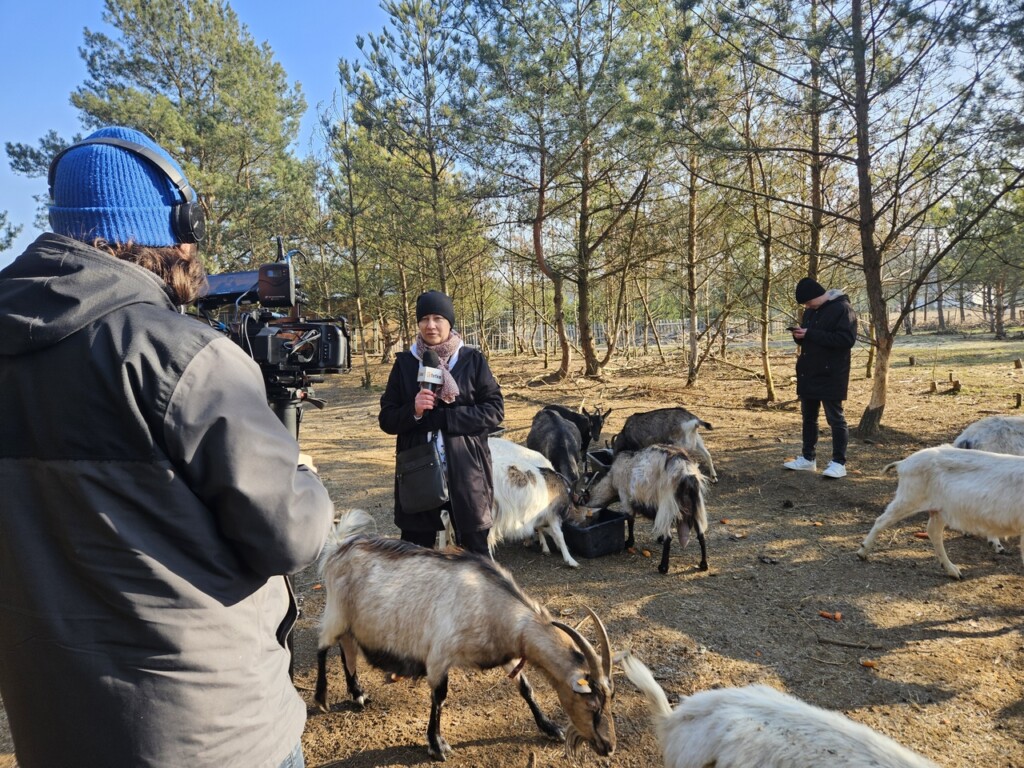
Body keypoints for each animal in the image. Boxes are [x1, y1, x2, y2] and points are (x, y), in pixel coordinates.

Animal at [313, 512, 614, 765]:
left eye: (608, 700)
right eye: (592, 704)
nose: (609, 746)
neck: (487, 600)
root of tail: (338, 547)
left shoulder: (505, 652)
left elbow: (525, 687)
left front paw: (550, 727)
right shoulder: (439, 656)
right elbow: (439, 697)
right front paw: (436, 745)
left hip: (353, 623)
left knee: (347, 649)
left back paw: (358, 693)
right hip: (336, 612)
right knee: (323, 647)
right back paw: (322, 698)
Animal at [585, 444, 704, 573]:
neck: (612, 480)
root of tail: (685, 471)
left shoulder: (625, 497)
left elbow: (630, 519)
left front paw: (629, 542)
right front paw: (659, 538)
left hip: (667, 504)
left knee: (669, 537)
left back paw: (663, 567)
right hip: (695, 506)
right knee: (701, 534)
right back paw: (703, 564)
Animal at [856, 444, 1024, 577]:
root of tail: (903, 463)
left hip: (938, 510)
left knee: (933, 532)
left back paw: (952, 571)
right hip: (909, 497)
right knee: (882, 520)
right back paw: (862, 553)